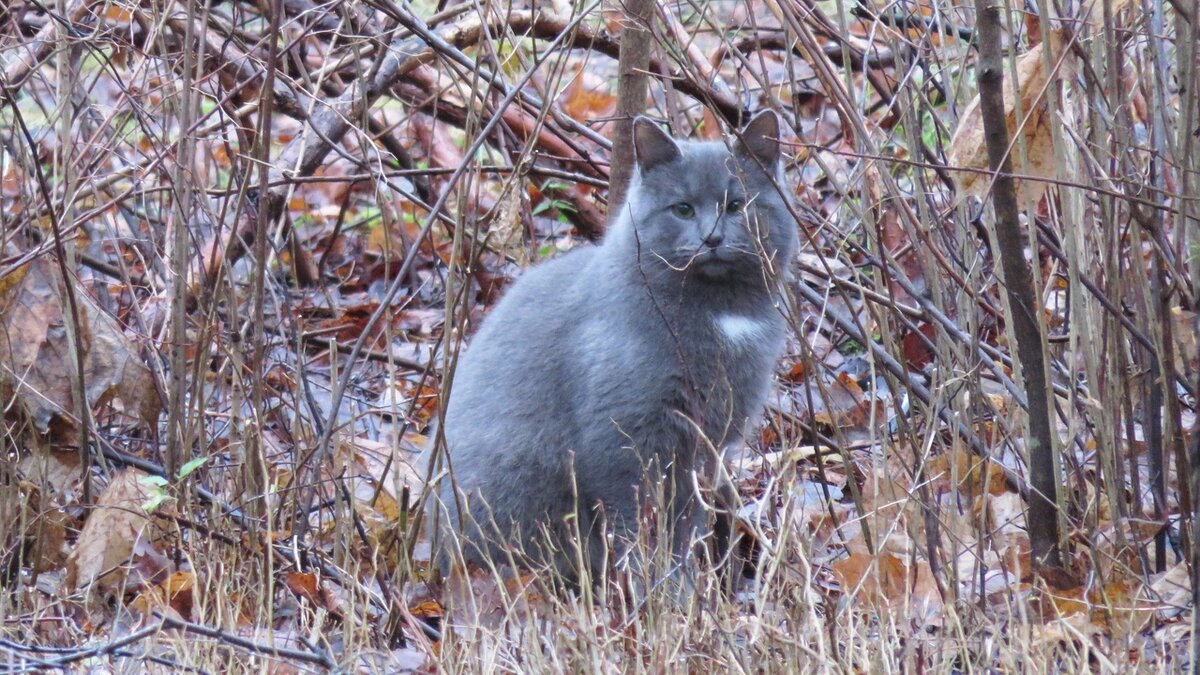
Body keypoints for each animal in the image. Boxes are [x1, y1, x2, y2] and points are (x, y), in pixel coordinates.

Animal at [434, 111, 796, 583]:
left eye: (736, 205)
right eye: (682, 208)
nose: (712, 238)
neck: (721, 312)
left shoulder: (704, 447)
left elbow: (683, 521)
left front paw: (680, 580)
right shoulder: (623, 435)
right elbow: (633, 520)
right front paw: (658, 587)